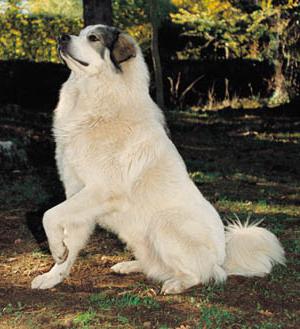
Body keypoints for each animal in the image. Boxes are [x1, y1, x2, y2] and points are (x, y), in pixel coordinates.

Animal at [31, 25, 286, 292]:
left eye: (93, 38)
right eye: (80, 33)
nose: (61, 37)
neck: (99, 99)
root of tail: (222, 258)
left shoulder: (101, 190)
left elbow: (49, 215)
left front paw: (56, 250)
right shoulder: (76, 194)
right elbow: (66, 237)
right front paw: (54, 274)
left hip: (164, 224)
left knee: (203, 274)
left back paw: (176, 285)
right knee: (157, 266)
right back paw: (129, 266)